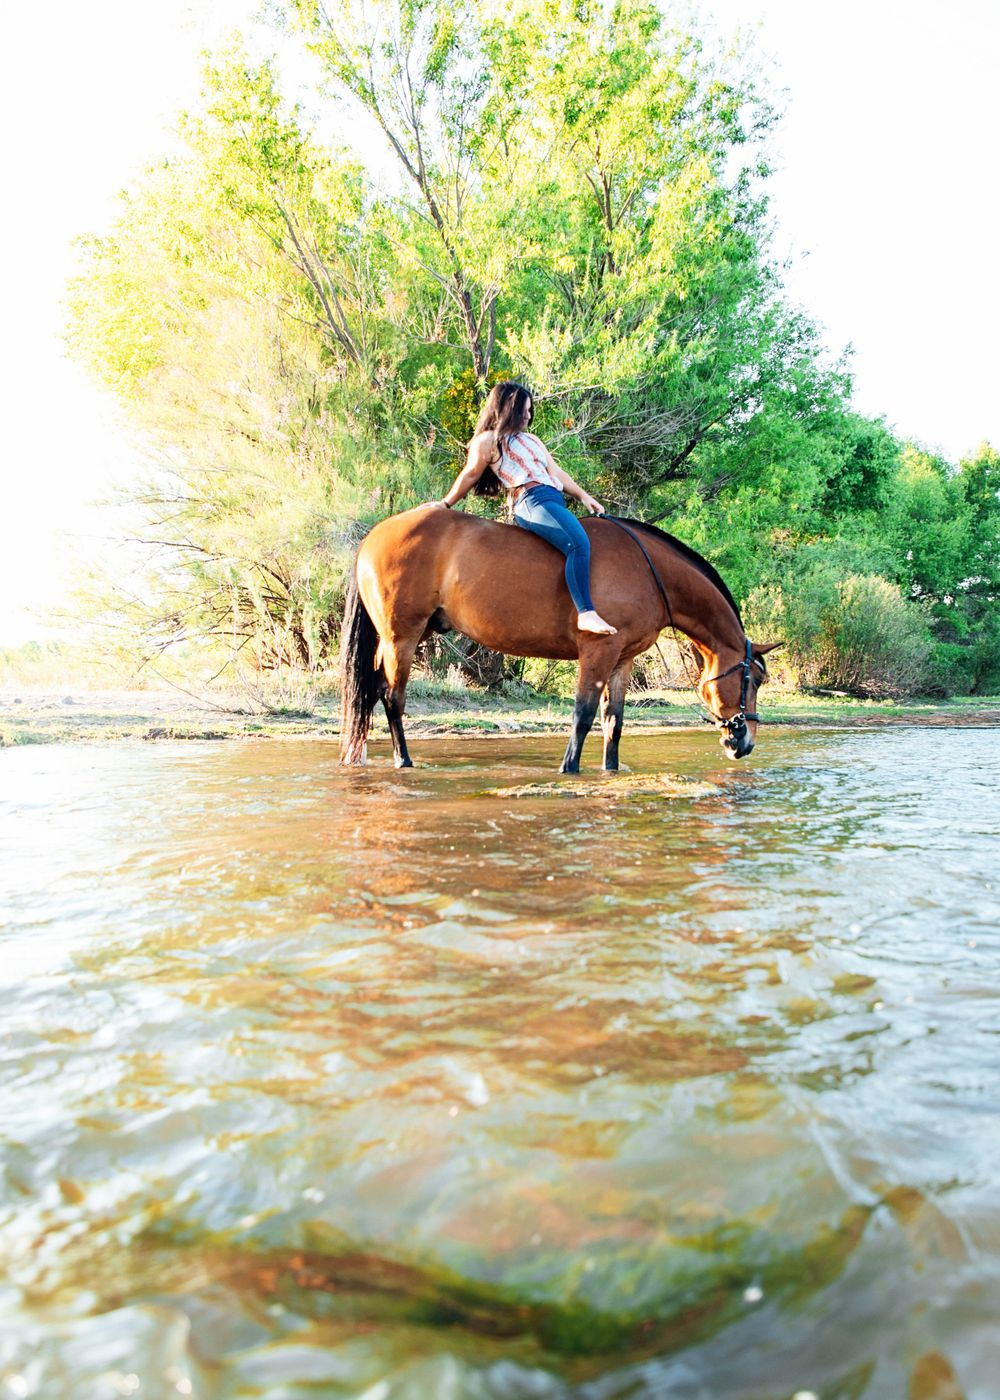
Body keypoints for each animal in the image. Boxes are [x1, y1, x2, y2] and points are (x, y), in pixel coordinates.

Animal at [339, 506, 779, 772]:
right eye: (754, 679)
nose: (745, 742)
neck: (648, 570)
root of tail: (374, 535)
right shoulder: (598, 652)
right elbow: (583, 715)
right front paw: (569, 769)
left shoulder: (622, 660)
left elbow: (614, 721)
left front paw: (610, 770)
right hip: (402, 637)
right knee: (392, 697)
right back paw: (403, 760)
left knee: (372, 690)